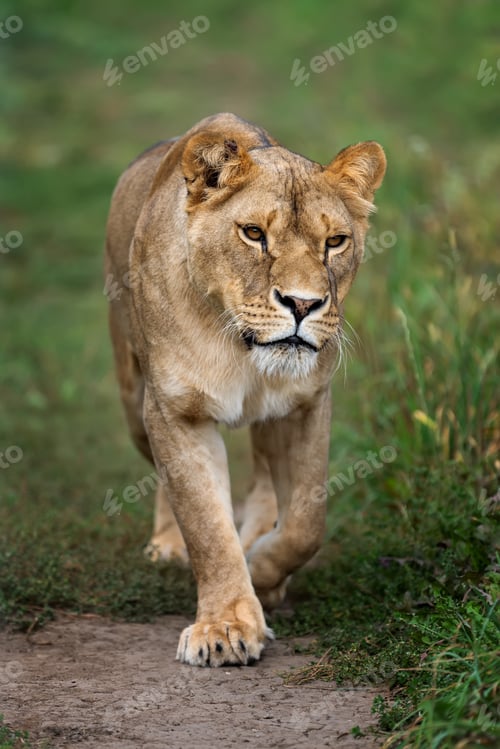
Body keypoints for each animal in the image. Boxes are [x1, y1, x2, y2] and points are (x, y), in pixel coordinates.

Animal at [105, 113, 386, 667]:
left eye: (335, 242)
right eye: (253, 233)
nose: (303, 304)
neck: (238, 345)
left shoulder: (304, 404)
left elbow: (306, 521)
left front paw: (261, 569)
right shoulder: (175, 411)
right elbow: (206, 526)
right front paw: (225, 627)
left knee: (263, 479)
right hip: (132, 397)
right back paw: (169, 545)